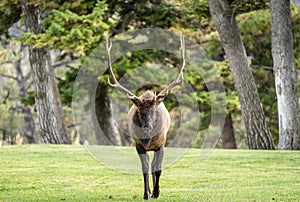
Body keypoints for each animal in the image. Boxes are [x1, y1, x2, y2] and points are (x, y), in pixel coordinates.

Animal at [105, 36, 185, 199]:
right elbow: (144, 168)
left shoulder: (161, 145)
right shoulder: (139, 146)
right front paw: (146, 193)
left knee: (155, 165)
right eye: (140, 111)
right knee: (150, 165)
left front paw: (156, 192)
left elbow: (158, 169)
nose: (147, 128)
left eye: (154, 110)